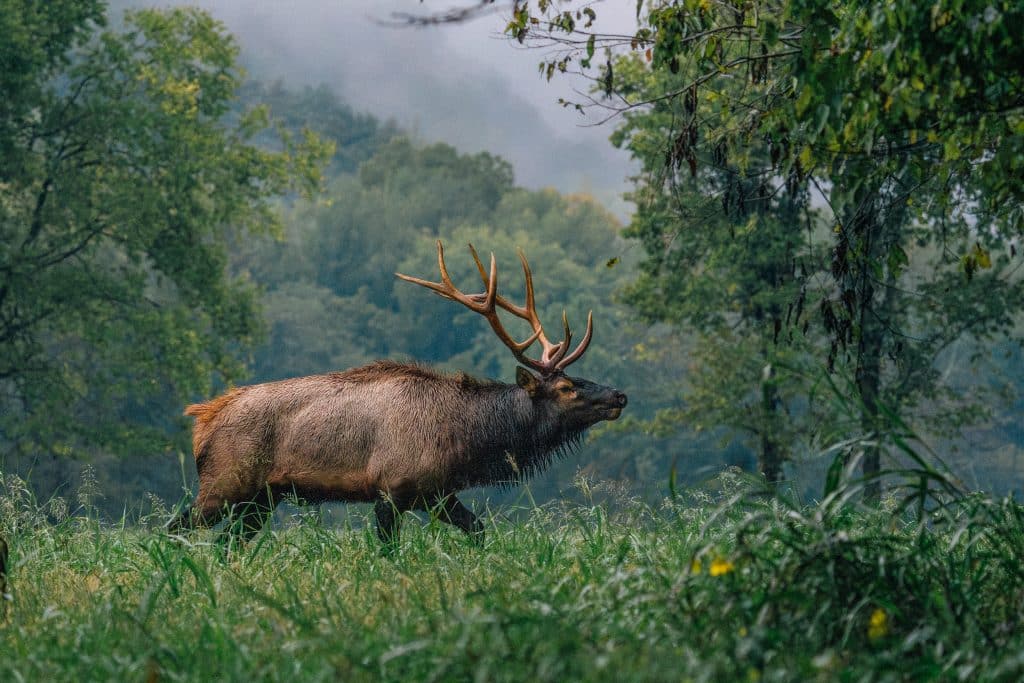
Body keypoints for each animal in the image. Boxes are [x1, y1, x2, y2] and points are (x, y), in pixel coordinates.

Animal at [168, 241, 627, 546]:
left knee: (226, 544)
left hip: (262, 498)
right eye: (566, 387)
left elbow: (478, 531)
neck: (466, 440)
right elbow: (388, 551)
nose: (619, 396)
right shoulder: (390, 490)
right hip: (223, 483)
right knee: (172, 529)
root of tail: (203, 419)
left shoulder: (437, 494)